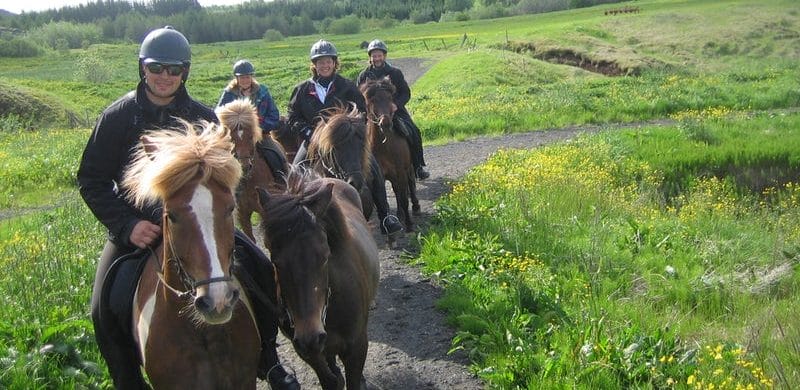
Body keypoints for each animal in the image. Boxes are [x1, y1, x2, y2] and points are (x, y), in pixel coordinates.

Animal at [216, 100, 282, 247]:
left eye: (251, 136)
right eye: (231, 138)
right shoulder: (242, 214)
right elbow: (251, 239)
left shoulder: (265, 210)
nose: (244, 166)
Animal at [258, 169, 380, 390]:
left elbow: (353, 380)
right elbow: (329, 380)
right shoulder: (306, 350)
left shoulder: (357, 347)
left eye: (325, 256)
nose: (311, 337)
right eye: (275, 262)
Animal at [360, 77, 418, 233]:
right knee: (397, 190)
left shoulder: (400, 172)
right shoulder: (379, 175)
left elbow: (403, 199)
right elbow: (385, 200)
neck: (383, 145)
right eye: (372, 100)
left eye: (390, 98)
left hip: (408, 168)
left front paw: (409, 225)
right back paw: (399, 214)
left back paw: (415, 206)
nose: (385, 123)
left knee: (410, 184)